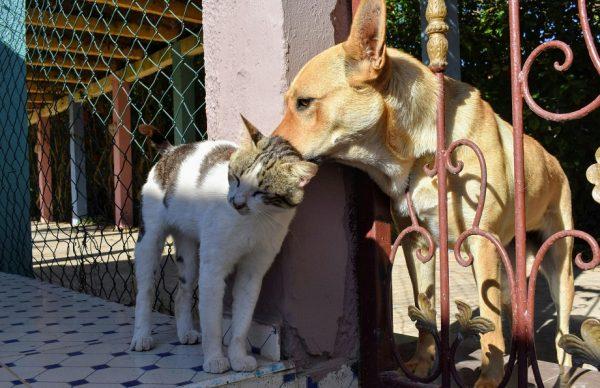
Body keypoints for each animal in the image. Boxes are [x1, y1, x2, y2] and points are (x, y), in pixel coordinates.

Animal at [130, 117, 318, 372]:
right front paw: (215, 360)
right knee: (146, 291)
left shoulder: (253, 272)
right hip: (150, 241)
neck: (254, 221)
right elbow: (213, 325)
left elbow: (242, 323)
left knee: (182, 294)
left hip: (190, 254)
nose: (236, 203)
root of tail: (172, 150)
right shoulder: (213, 270)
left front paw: (237, 358)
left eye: (261, 192)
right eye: (236, 177)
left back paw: (185, 332)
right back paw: (141, 336)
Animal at [274, 0, 576, 384]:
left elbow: (490, 326)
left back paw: (563, 369)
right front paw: (422, 362)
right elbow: (426, 310)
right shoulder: (418, 244)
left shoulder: (481, 244)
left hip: (559, 267)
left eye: (304, 102)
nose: (261, 147)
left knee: (559, 325)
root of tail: (555, 163)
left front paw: (490, 379)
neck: (422, 153)